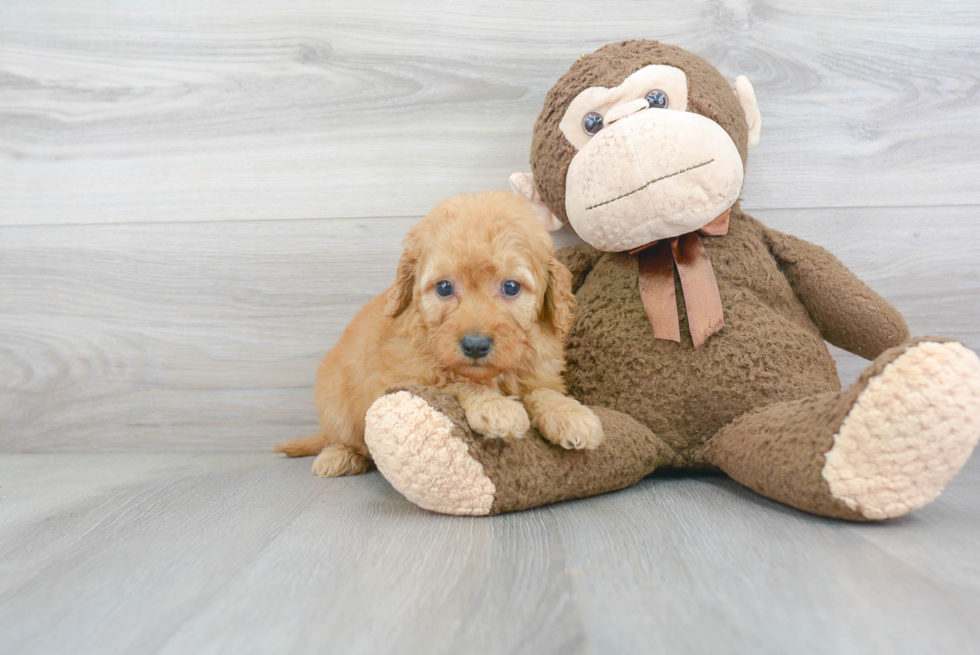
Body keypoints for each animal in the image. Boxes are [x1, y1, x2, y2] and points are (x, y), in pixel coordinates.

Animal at [272, 190, 600, 476]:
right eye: (444, 287)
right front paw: (496, 407)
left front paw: (570, 414)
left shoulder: (540, 373)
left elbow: (542, 391)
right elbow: (455, 384)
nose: (475, 346)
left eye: (511, 287)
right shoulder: (404, 380)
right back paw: (337, 456)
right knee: (338, 437)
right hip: (334, 401)